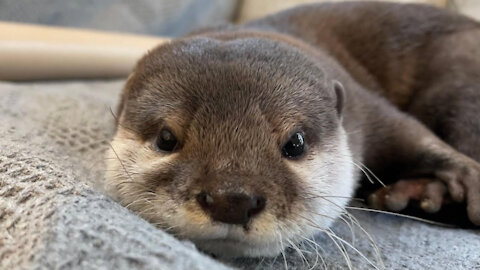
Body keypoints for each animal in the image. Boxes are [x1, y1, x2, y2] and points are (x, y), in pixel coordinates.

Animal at [105, 1, 480, 260]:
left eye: (295, 143)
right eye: (166, 138)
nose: (232, 199)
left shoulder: (364, 106)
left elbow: (411, 134)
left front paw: (469, 177)